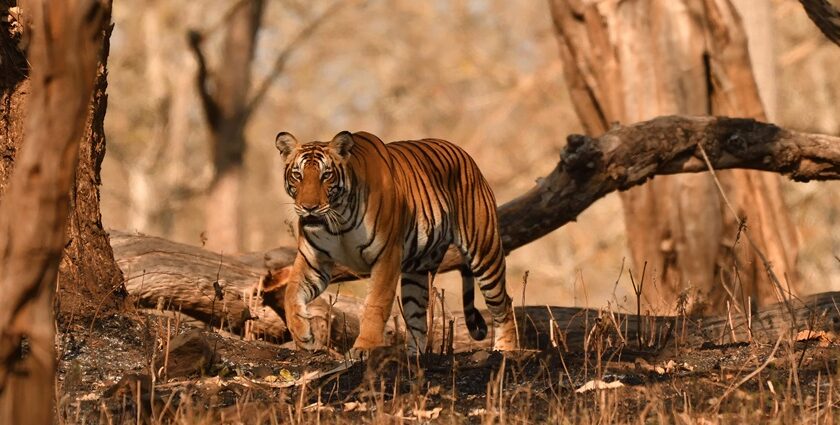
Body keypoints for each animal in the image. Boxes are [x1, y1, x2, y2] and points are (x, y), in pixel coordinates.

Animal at [272, 131, 516, 352]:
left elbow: (375, 304)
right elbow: (291, 294)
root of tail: (465, 155)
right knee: (417, 318)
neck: (339, 219)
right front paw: (303, 338)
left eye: (326, 175)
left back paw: (506, 350)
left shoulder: (386, 256)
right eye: (297, 175)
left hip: (485, 250)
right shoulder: (313, 261)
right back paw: (413, 359)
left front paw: (364, 348)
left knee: (504, 303)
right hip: (418, 270)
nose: (309, 207)